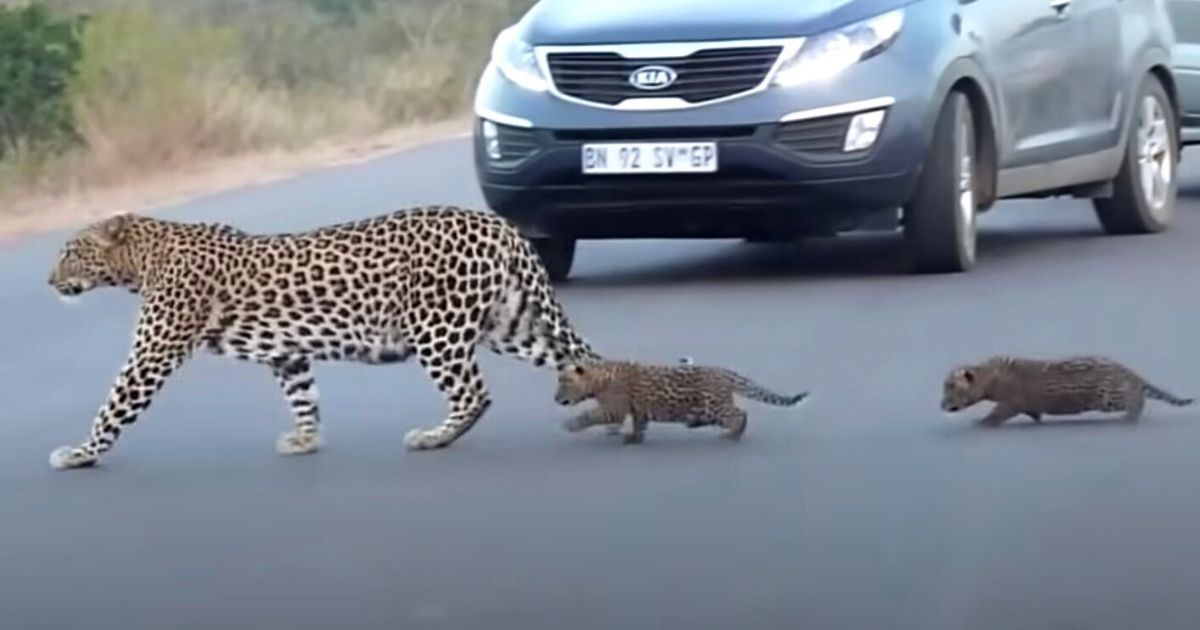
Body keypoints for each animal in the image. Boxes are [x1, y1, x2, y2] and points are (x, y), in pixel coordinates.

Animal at [46, 206, 600, 465]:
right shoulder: (286, 352)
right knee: (579, 360)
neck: (141, 259)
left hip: (437, 328)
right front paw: (306, 440)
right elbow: (303, 396)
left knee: (473, 394)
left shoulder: (153, 353)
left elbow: (114, 406)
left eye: (71, 252)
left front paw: (79, 453)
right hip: (512, 322)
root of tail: (497, 223)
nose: (49, 281)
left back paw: (433, 437)